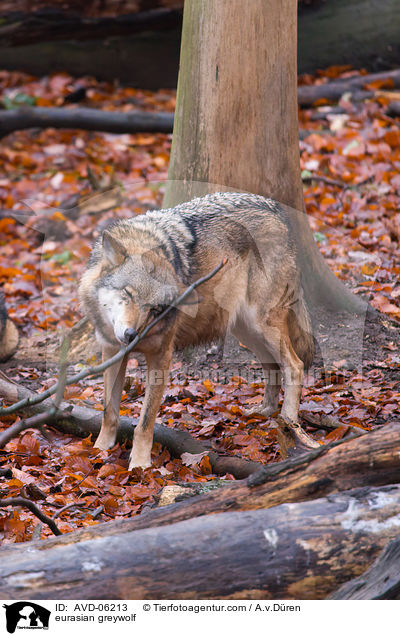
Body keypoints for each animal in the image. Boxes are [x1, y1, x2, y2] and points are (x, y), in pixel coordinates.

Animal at [79, 191, 314, 470]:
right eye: (128, 293)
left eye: (155, 309)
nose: (131, 336)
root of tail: (276, 209)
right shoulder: (112, 351)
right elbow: (109, 411)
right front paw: (100, 450)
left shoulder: (161, 356)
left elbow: (145, 421)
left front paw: (140, 465)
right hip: (246, 330)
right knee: (272, 366)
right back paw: (265, 411)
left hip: (263, 324)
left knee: (295, 365)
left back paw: (290, 423)